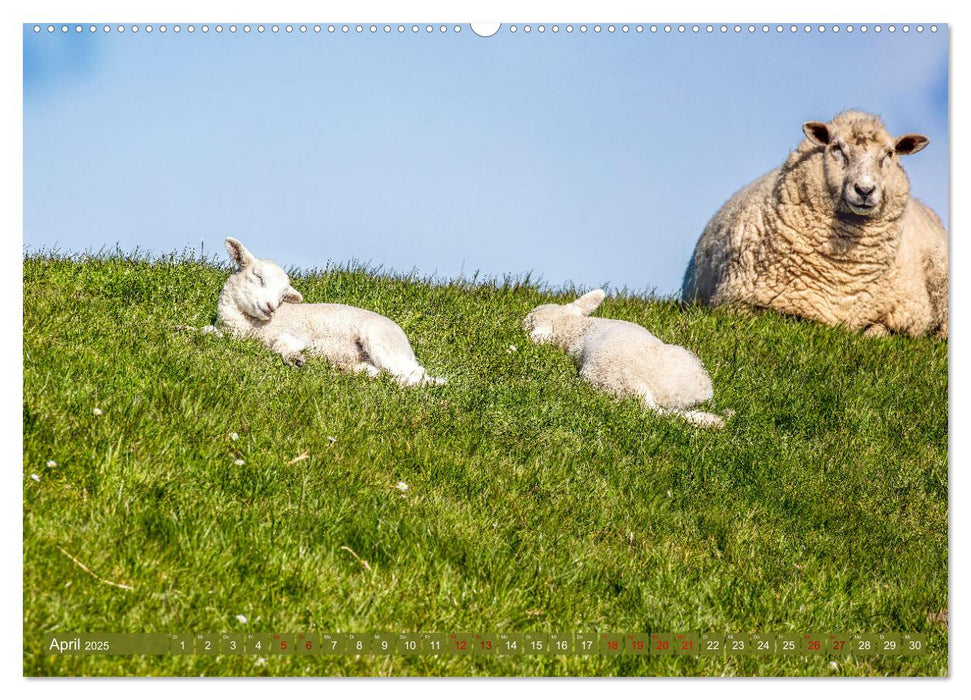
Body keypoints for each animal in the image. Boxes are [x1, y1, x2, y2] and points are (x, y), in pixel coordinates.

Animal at [207, 238, 450, 386]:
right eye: (257, 276)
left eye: (283, 294)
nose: (271, 307)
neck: (249, 326)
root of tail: (404, 340)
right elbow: (205, 330)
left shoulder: (298, 334)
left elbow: (281, 345)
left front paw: (295, 359)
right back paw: (347, 369)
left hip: (381, 341)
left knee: (414, 375)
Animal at [680, 110, 944, 338]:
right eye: (836, 147)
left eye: (889, 154)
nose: (864, 190)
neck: (845, 271)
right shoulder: (740, 304)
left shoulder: (909, 315)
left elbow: (879, 332)